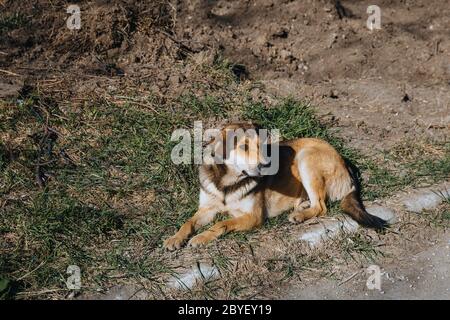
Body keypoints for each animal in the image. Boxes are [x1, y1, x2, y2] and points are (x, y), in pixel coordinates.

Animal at [164, 120, 386, 250]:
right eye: (244, 147)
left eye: (262, 145)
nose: (266, 164)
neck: (227, 182)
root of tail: (343, 160)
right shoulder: (207, 209)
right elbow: (188, 222)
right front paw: (175, 238)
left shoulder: (253, 217)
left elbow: (221, 223)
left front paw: (201, 237)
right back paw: (302, 206)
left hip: (306, 157)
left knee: (322, 206)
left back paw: (299, 215)